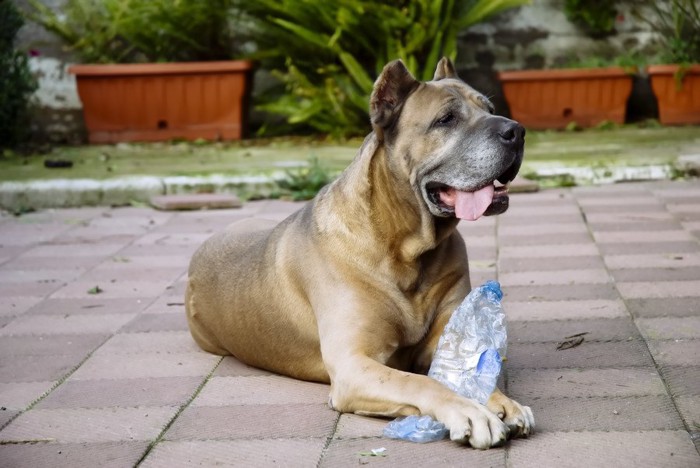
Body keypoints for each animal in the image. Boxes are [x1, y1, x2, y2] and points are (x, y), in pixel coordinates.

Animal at [186, 56, 536, 448]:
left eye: (489, 108)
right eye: (446, 119)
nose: (517, 131)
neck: (406, 248)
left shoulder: (445, 338)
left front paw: (502, 402)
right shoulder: (355, 364)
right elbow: (420, 382)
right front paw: (469, 411)